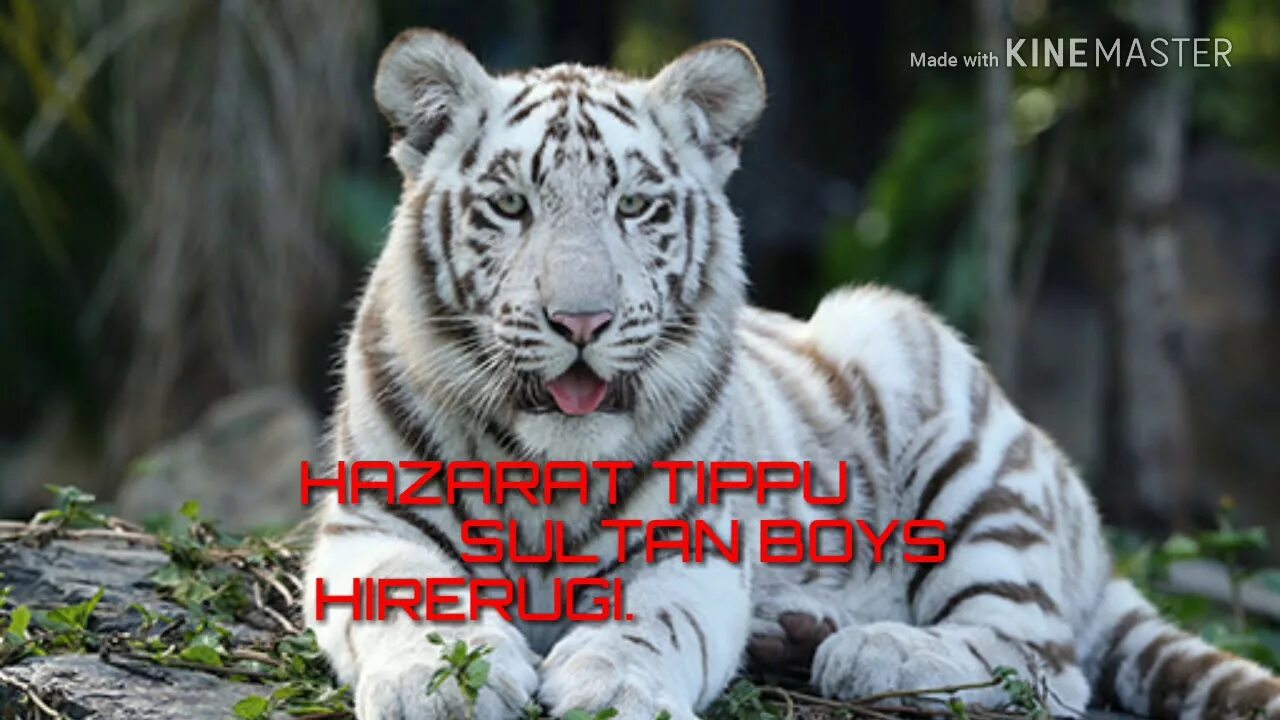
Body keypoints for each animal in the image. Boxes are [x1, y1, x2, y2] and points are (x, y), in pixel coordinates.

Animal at [304, 28, 1280, 720]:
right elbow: (415, 604)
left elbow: (646, 625)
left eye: (636, 206)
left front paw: (612, 688)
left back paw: (874, 651)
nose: (581, 323)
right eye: (510, 204)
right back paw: (796, 632)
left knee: (1043, 661)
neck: (550, 464)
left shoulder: (689, 544)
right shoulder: (369, 524)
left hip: (949, 429)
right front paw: (441, 681)